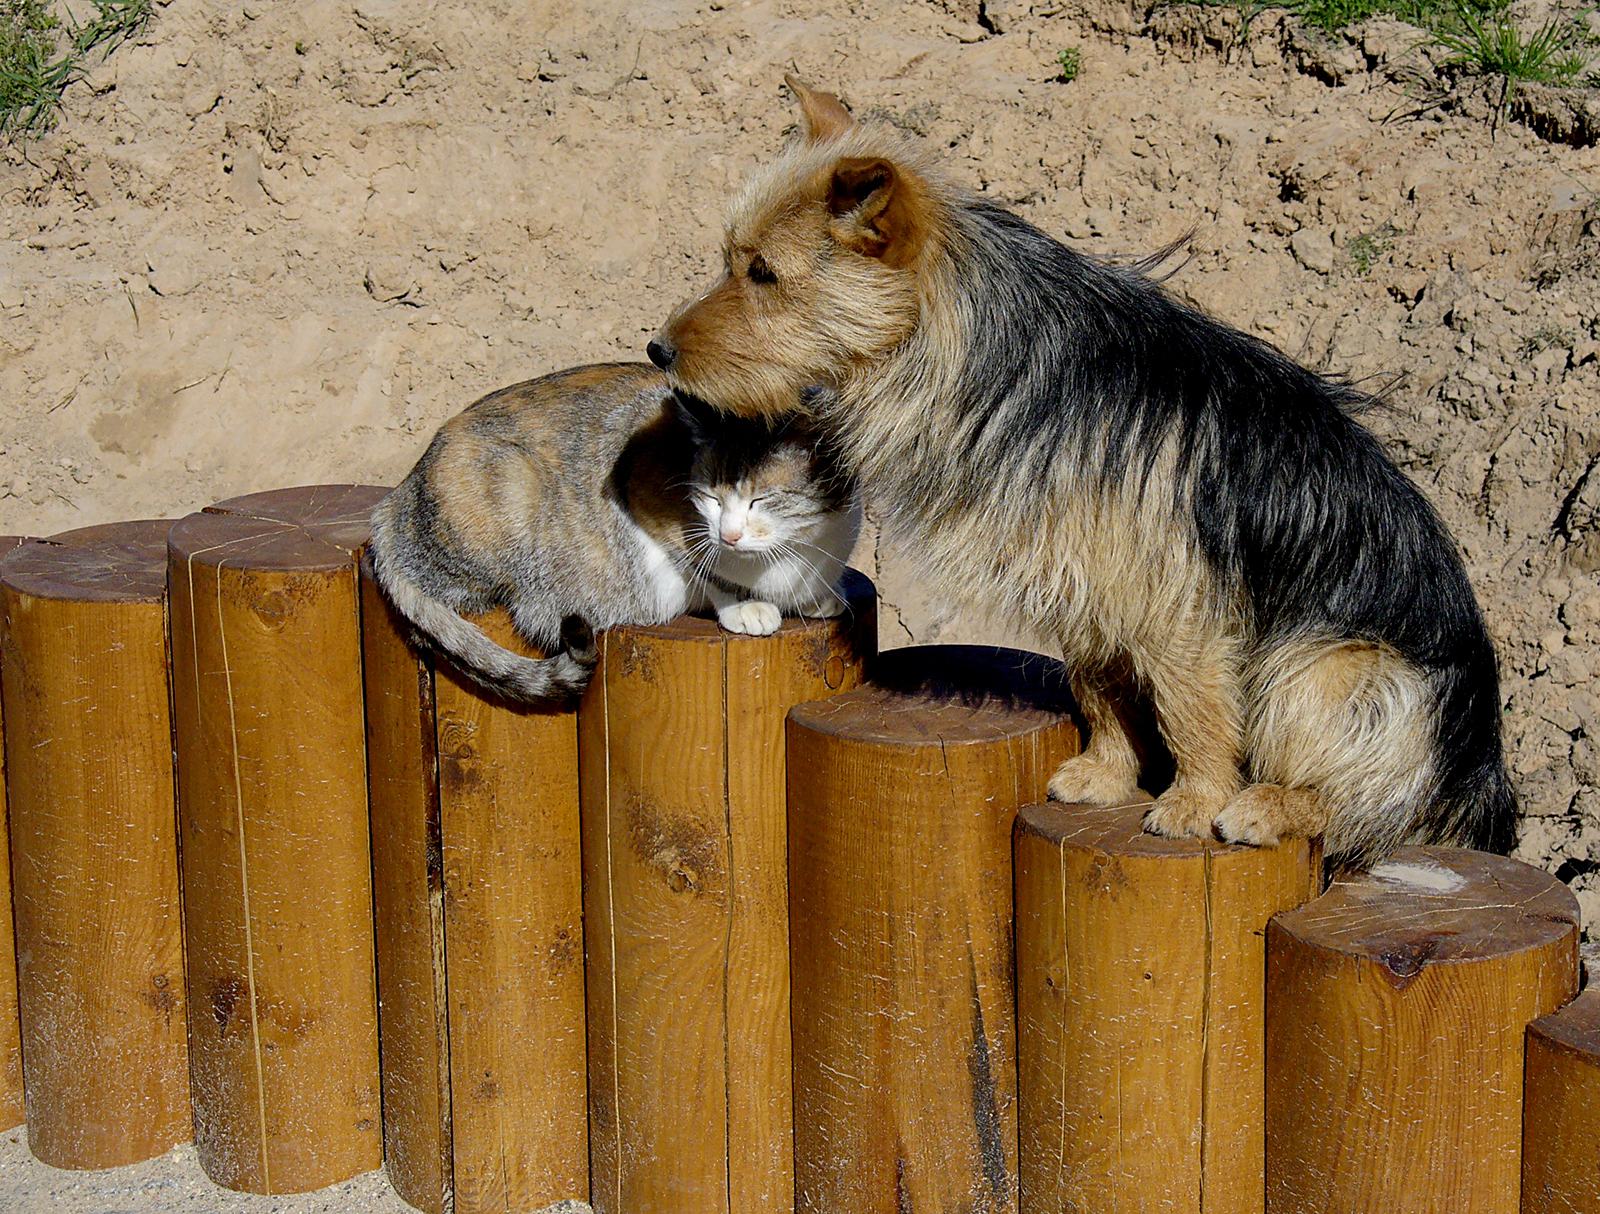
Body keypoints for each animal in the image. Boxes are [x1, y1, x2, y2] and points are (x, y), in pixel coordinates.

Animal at [366, 362, 861, 702]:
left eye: (760, 500)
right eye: (712, 499)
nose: (729, 536)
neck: (793, 550)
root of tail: (395, 498)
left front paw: (818, 597)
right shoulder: (641, 488)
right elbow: (702, 565)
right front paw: (744, 605)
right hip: (511, 485)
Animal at [646, 77, 1516, 868]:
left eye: (763, 274)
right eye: (729, 262)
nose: (657, 349)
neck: (971, 350)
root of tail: (1483, 768)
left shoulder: (1174, 605)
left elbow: (1193, 710)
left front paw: (1194, 800)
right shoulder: (1087, 583)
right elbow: (1101, 689)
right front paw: (1106, 775)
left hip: (1333, 671)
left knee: (1370, 807)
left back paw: (1267, 804)